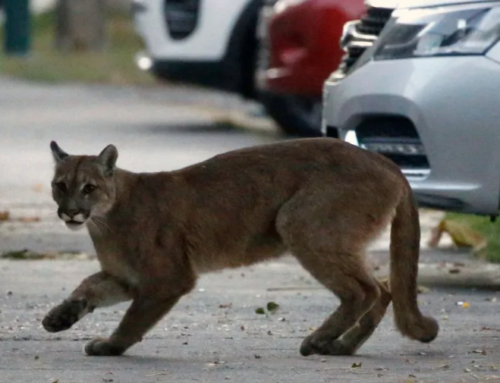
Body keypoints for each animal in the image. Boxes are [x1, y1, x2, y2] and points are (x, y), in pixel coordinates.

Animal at [43, 140, 438, 358]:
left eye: (89, 187)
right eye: (60, 185)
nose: (71, 211)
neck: (104, 220)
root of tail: (386, 161)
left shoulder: (167, 279)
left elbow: (133, 319)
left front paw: (112, 346)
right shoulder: (127, 277)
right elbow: (88, 286)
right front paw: (60, 317)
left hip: (298, 223)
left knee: (364, 290)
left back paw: (318, 340)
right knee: (384, 289)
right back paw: (342, 347)